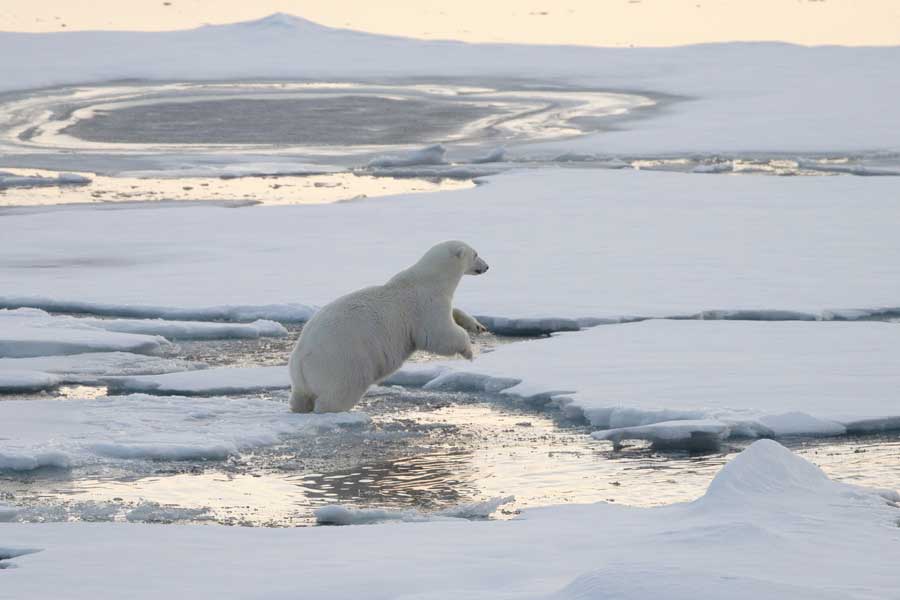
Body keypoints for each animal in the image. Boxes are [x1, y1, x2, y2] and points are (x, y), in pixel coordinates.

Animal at [288, 239, 488, 412]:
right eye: (476, 254)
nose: (487, 266)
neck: (430, 279)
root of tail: (300, 360)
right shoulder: (424, 306)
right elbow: (438, 334)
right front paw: (469, 351)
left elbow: (453, 314)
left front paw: (477, 325)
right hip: (342, 362)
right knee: (339, 393)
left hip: (304, 379)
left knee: (300, 397)